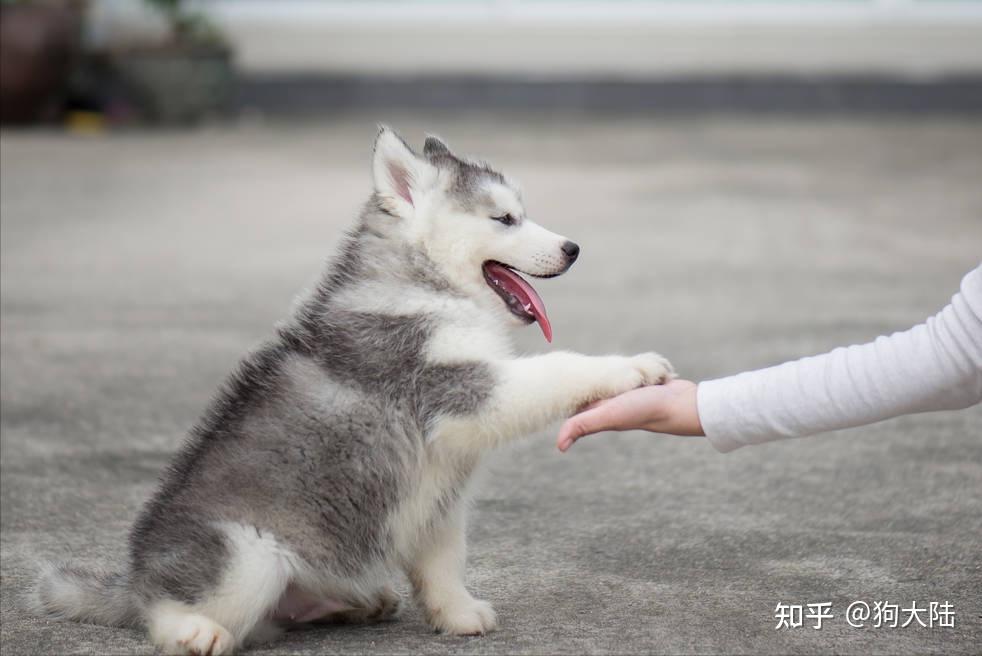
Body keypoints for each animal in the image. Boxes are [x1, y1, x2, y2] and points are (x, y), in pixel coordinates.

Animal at [32, 129, 676, 656]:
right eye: (505, 219)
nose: (573, 249)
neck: (425, 284)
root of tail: (135, 577)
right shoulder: (456, 387)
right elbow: (556, 369)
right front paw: (632, 368)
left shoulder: (440, 489)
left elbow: (444, 559)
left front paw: (457, 613)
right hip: (246, 556)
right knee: (167, 611)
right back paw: (192, 631)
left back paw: (360, 602)